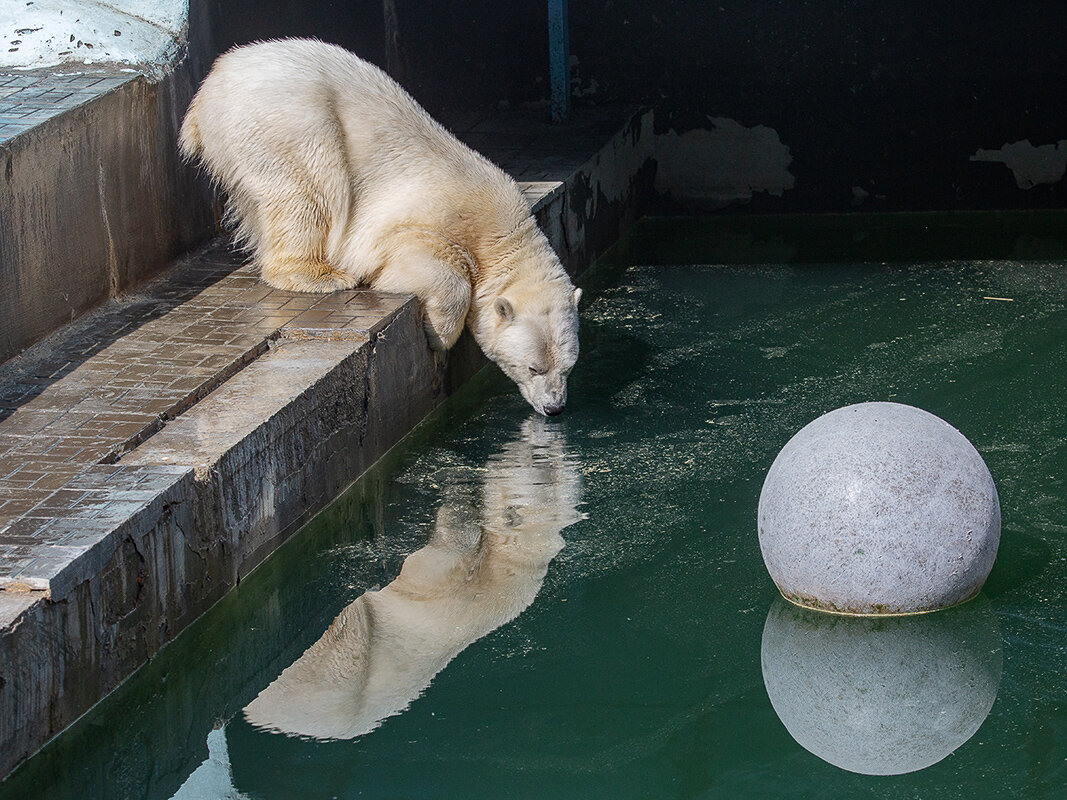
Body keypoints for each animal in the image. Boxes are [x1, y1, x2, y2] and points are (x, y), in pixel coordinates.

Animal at [183, 38, 584, 416]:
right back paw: (318, 274)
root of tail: (215, 79)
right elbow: (424, 265)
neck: (499, 233)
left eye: (568, 368)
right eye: (533, 368)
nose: (555, 407)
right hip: (289, 121)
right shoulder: (425, 218)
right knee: (308, 189)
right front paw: (438, 338)